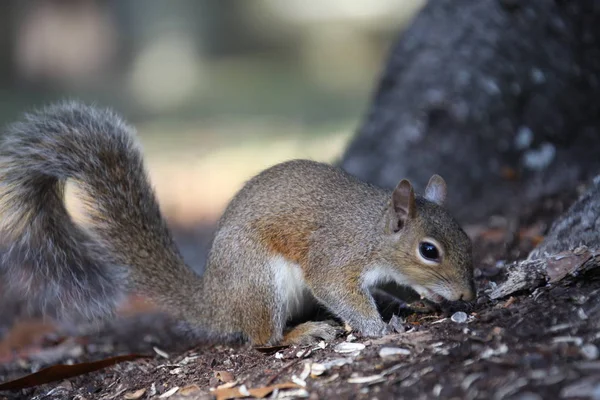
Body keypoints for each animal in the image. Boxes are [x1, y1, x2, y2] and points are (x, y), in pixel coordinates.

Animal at [0, 102, 476, 346]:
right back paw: (302, 332)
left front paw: (414, 301)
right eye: (428, 250)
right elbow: (340, 291)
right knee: (263, 338)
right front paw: (381, 328)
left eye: (467, 238)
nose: (467, 295)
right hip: (259, 279)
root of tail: (217, 301)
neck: (374, 231)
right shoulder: (337, 257)